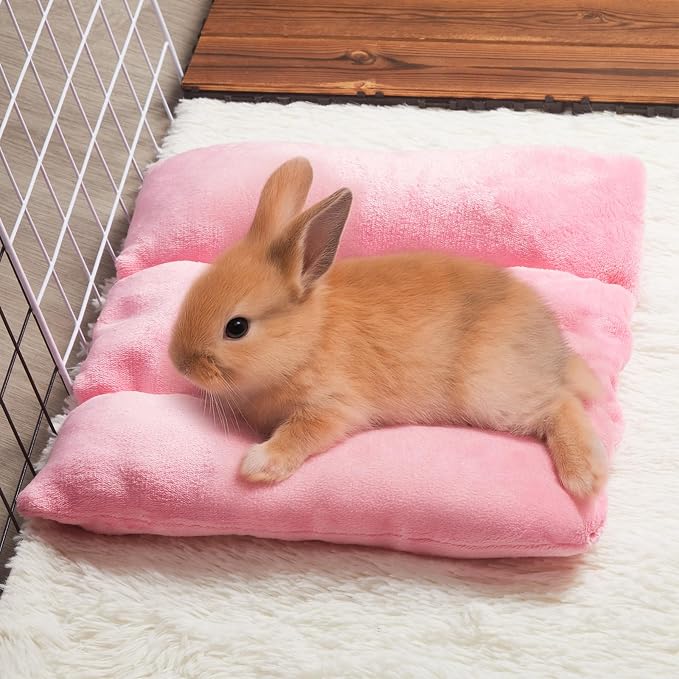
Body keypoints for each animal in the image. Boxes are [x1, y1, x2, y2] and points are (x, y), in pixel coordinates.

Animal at [169, 157, 607, 499]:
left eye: (236, 327)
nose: (179, 363)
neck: (310, 337)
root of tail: (556, 352)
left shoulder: (334, 406)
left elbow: (302, 433)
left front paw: (258, 464)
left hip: (490, 388)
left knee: (560, 403)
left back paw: (584, 477)